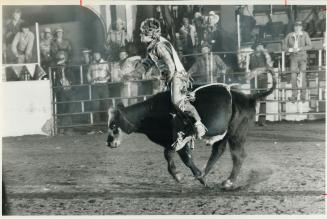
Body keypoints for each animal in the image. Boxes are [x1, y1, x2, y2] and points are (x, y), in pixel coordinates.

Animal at [107, 69, 276, 188]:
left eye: (114, 125)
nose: (109, 143)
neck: (152, 111)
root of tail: (248, 98)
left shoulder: (180, 137)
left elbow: (178, 156)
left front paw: (179, 175)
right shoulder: (174, 141)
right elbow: (175, 155)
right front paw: (190, 175)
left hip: (237, 134)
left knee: (238, 156)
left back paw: (228, 181)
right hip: (224, 134)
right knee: (218, 151)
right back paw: (205, 174)